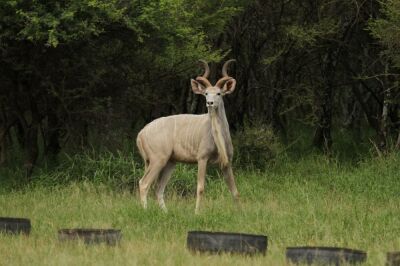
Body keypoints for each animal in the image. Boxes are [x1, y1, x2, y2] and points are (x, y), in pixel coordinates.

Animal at [136, 59, 239, 213]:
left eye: (219, 93)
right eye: (206, 93)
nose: (209, 103)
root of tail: (141, 133)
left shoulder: (227, 163)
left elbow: (234, 190)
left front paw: (241, 212)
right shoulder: (202, 159)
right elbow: (201, 188)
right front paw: (197, 213)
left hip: (170, 162)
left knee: (159, 188)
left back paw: (165, 213)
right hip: (158, 160)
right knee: (144, 183)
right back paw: (146, 211)